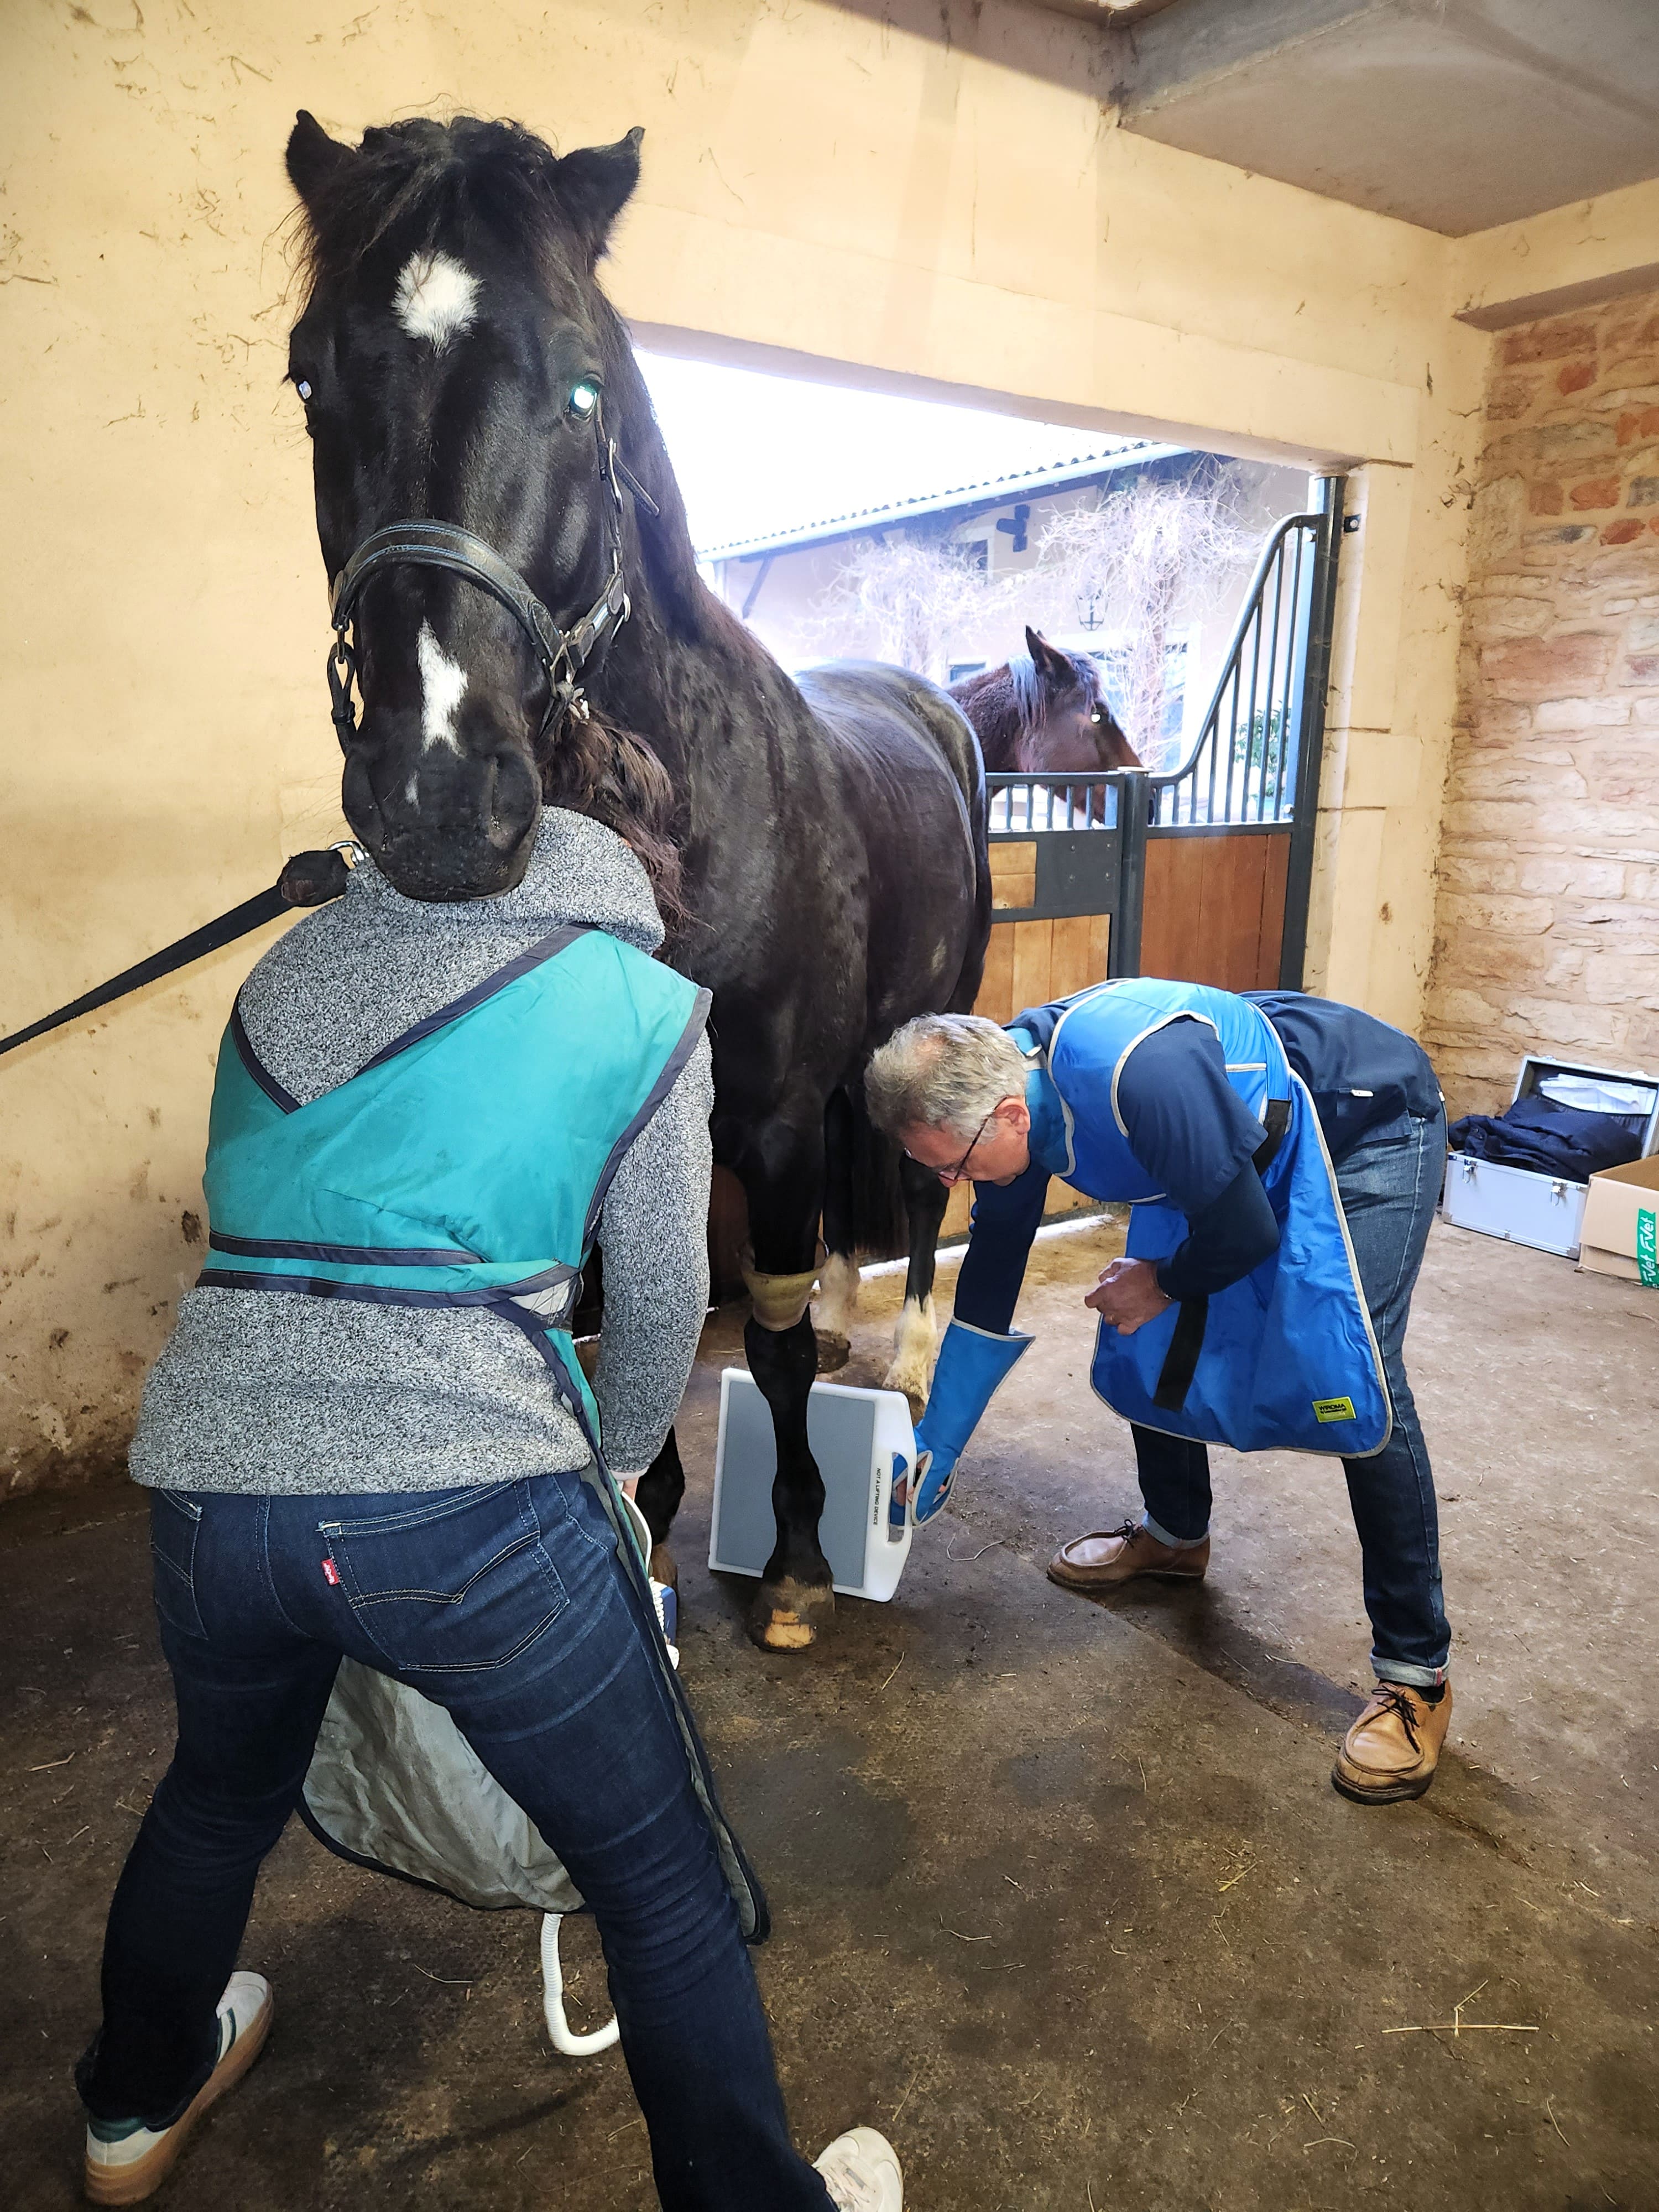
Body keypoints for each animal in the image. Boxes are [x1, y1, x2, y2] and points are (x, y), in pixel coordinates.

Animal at [282, 111, 990, 1653]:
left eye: (582, 385)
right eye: (309, 374)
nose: (435, 796)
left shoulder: (769, 1124)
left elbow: (760, 1335)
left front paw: (794, 1560)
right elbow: (627, 1309)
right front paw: (650, 1504)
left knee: (918, 1203)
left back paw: (905, 1365)